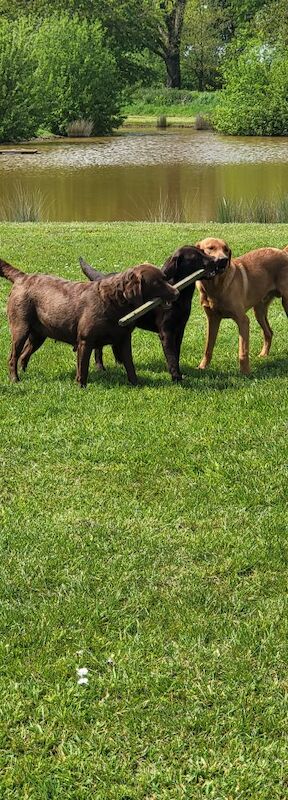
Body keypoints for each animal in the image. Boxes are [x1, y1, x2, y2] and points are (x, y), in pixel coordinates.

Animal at [0, 258, 179, 386]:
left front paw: (135, 383)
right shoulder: (85, 340)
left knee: (24, 355)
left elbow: (129, 363)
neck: (114, 302)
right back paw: (15, 379)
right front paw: (81, 386)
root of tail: (22, 277)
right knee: (13, 357)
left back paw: (24, 373)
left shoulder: (124, 339)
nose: (177, 293)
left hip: (38, 334)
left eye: (165, 278)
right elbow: (83, 366)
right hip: (20, 329)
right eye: (157, 282)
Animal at [79, 244, 227, 382]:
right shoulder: (166, 332)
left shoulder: (180, 330)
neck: (180, 293)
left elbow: (176, 353)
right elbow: (171, 356)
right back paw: (100, 367)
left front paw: (178, 373)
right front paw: (176, 377)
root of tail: (102, 278)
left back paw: (119, 362)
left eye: (203, 251)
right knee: (98, 348)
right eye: (195, 257)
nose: (218, 260)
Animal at [196, 238, 288, 376]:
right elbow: (208, 348)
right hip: (259, 310)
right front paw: (202, 367)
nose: (224, 260)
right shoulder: (212, 319)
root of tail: (283, 252)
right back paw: (263, 355)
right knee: (269, 332)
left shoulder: (243, 320)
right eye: (210, 248)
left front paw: (245, 373)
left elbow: (243, 350)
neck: (215, 287)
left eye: (226, 250)